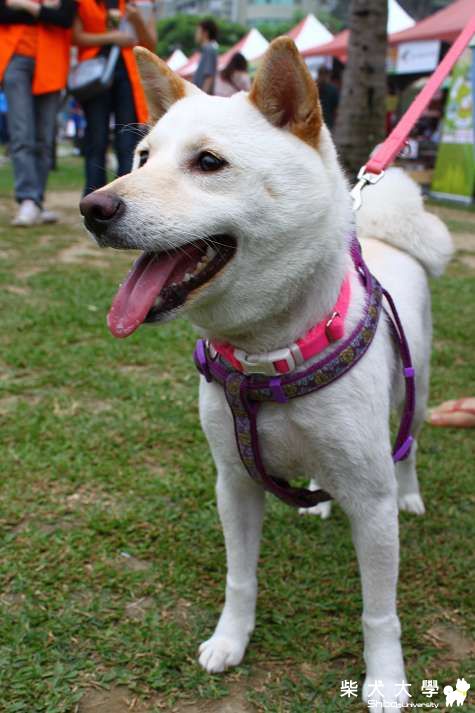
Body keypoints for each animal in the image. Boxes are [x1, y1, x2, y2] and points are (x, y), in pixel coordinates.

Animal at [80, 38, 453, 711]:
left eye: (208, 162)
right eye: (142, 158)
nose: (92, 206)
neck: (267, 358)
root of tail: (390, 236)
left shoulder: (372, 500)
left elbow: (379, 612)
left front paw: (386, 679)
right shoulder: (233, 481)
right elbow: (240, 579)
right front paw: (231, 641)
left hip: (418, 387)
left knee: (409, 445)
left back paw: (411, 493)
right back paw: (318, 501)